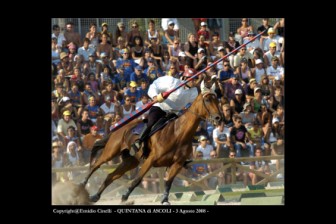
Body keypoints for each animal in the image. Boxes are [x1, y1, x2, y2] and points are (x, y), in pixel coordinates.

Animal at [81, 90, 223, 204]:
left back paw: (95, 196)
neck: (177, 133)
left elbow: (168, 182)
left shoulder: (177, 164)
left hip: (131, 161)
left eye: (217, 100)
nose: (218, 118)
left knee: (111, 176)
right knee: (96, 165)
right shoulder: (150, 159)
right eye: (207, 100)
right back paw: (82, 184)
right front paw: (125, 196)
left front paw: (165, 200)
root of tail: (118, 129)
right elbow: (137, 179)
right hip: (111, 151)